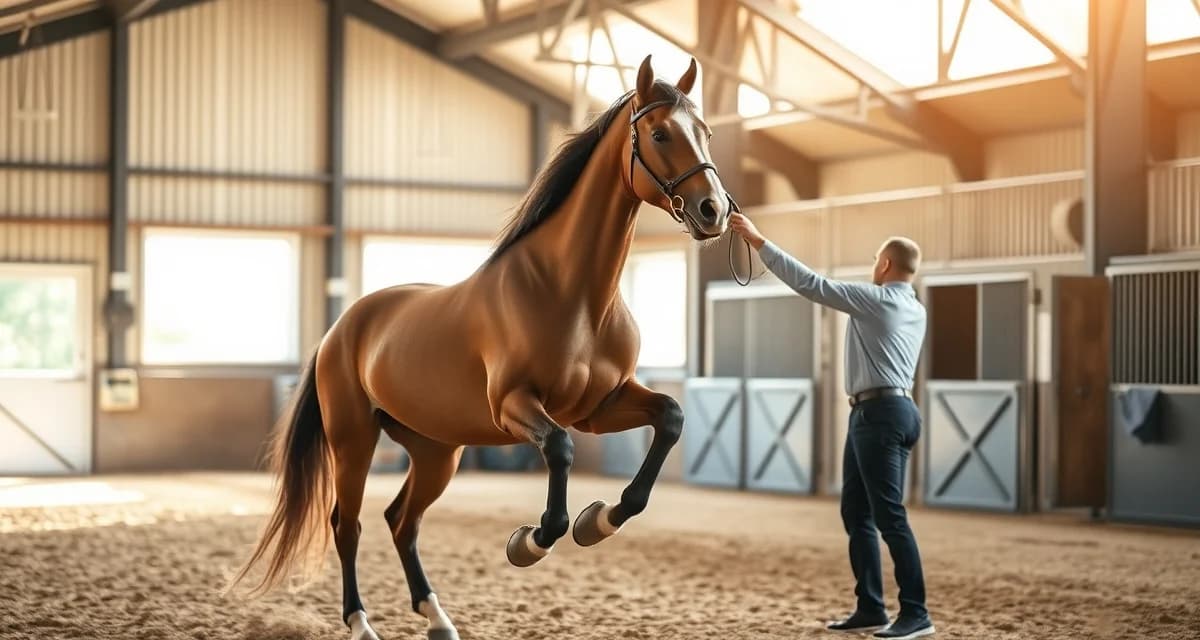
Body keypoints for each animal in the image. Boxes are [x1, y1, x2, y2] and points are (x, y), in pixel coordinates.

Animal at [229, 55, 736, 640]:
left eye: (706, 133)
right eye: (659, 133)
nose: (713, 211)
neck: (570, 294)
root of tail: (342, 327)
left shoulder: (599, 408)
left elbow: (670, 418)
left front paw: (600, 521)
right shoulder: (516, 406)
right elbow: (559, 451)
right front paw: (531, 543)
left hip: (436, 451)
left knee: (401, 521)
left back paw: (438, 617)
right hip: (353, 439)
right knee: (347, 523)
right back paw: (360, 623)